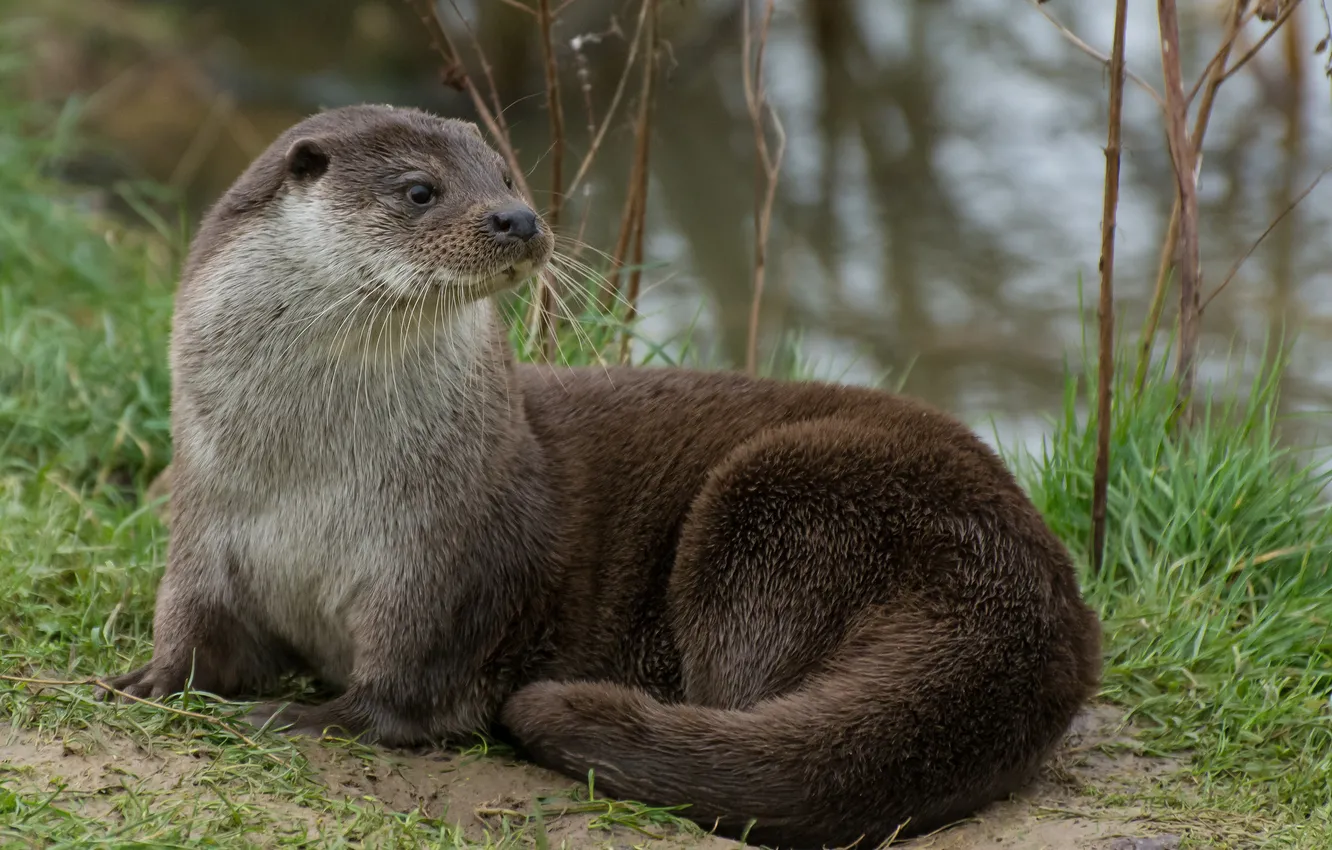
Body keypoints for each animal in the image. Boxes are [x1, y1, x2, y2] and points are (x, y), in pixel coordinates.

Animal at [101, 104, 1102, 849]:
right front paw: (141, 682)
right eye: (421, 190)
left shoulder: (445, 561)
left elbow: (405, 688)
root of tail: (1041, 602)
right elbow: (193, 627)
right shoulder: (210, 526)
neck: (315, 480)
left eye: (507, 177)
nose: (518, 220)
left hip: (784, 505)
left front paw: (309, 718)